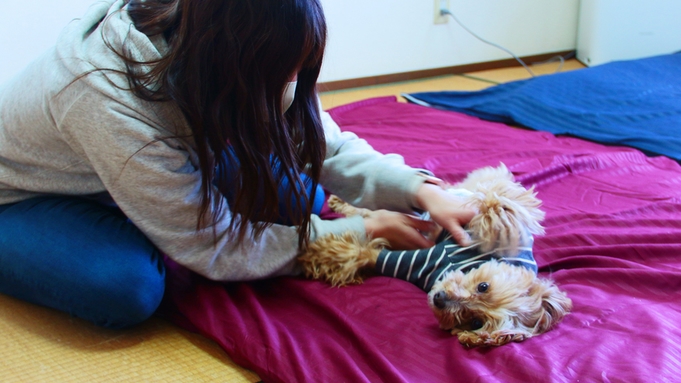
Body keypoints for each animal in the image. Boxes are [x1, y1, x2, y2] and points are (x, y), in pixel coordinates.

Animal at [300, 164, 572, 348]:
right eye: (483, 286)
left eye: (475, 322)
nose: (440, 298)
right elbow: (505, 208)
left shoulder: (404, 262)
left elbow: (363, 253)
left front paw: (319, 255)